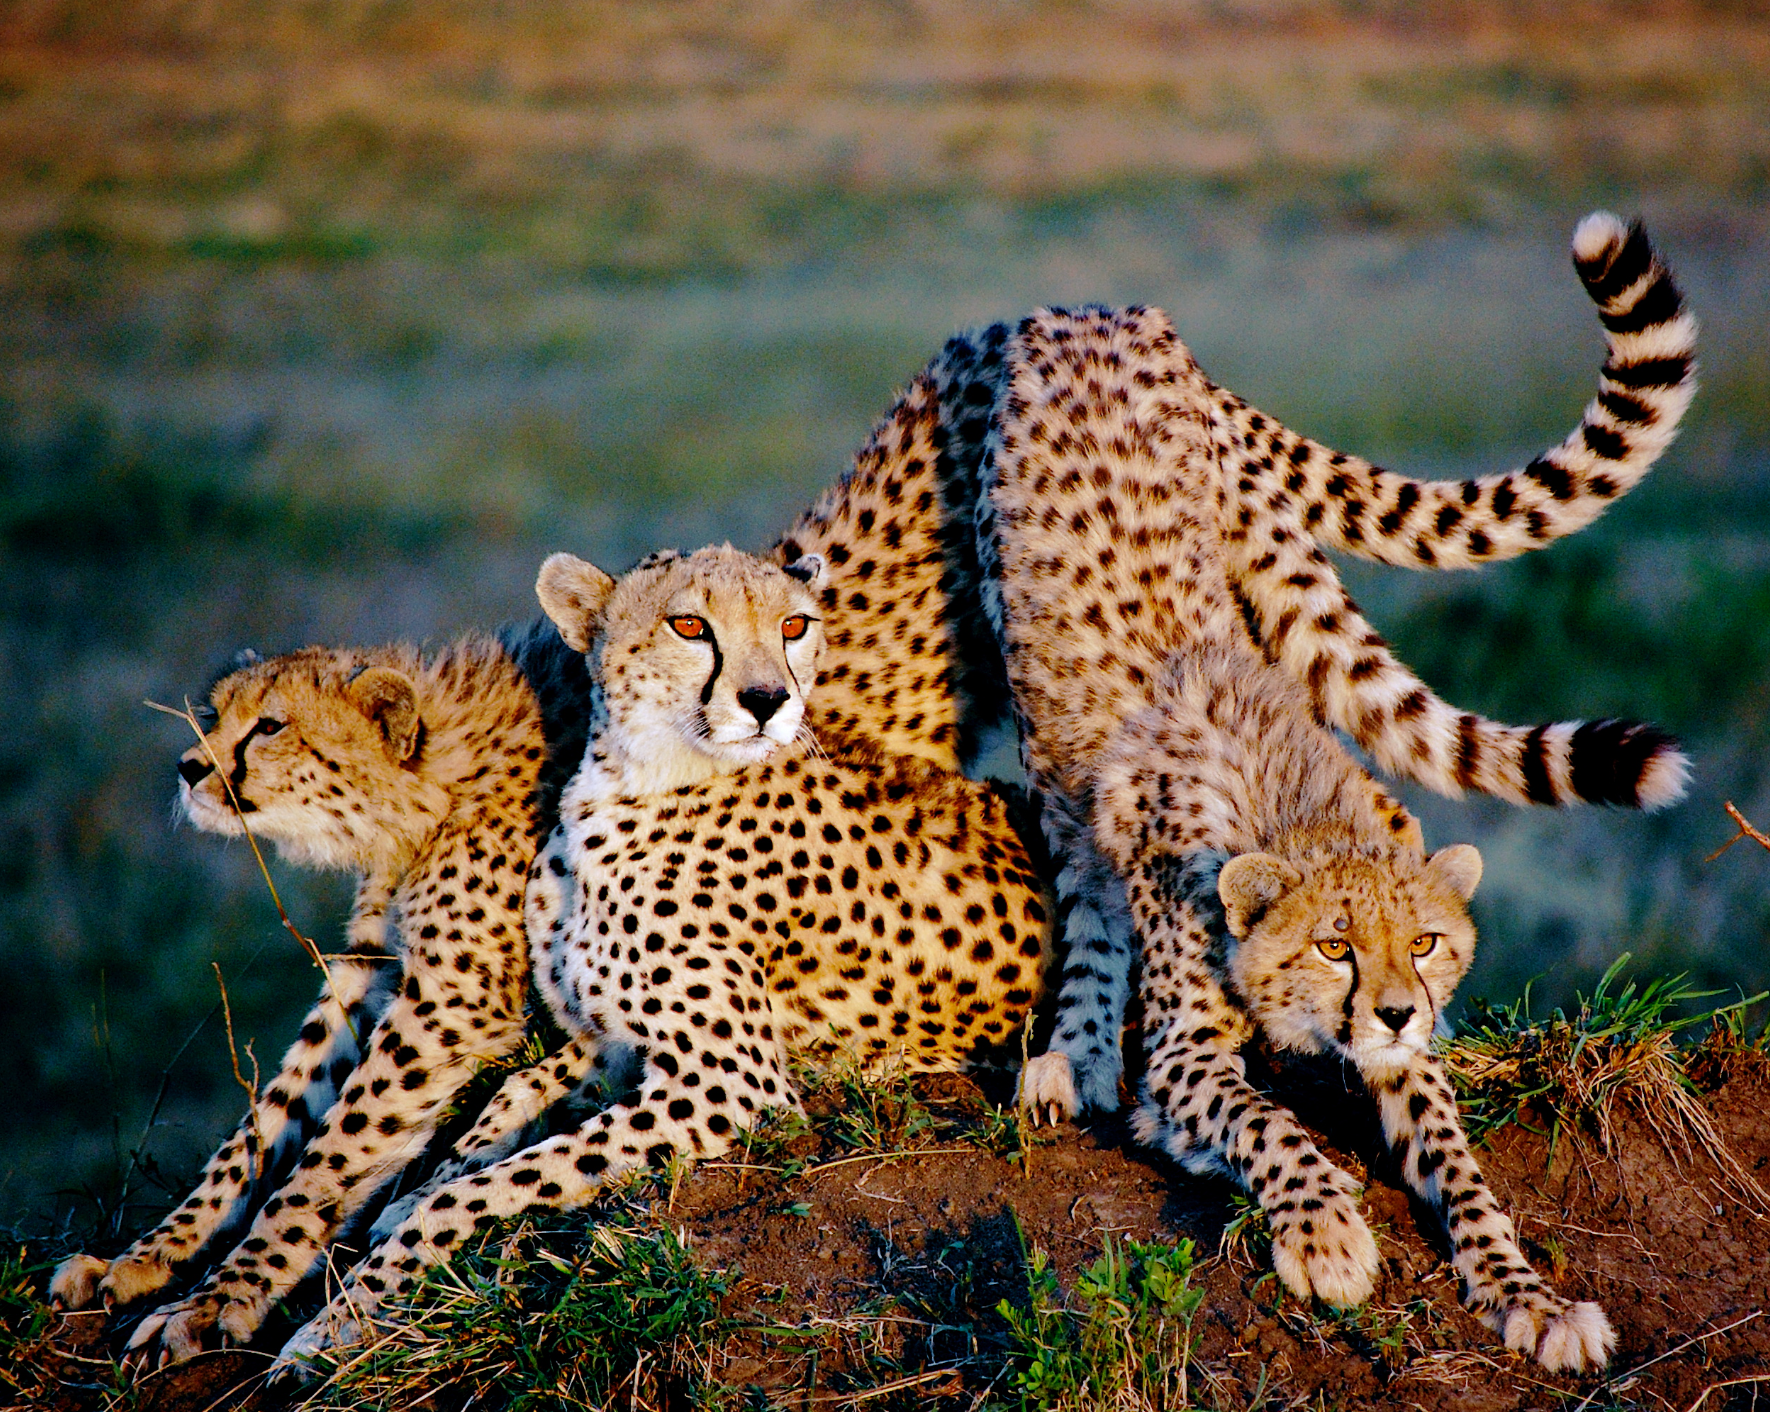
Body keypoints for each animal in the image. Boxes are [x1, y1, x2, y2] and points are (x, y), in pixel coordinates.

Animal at [48, 622, 593, 1366]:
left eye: (270, 726)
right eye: (216, 713)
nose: (187, 769)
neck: (427, 788)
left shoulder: (450, 997)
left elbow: (335, 1149)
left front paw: (220, 1299)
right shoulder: (369, 967)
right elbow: (266, 1122)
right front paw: (148, 1255)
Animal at [258, 543, 1056, 1371]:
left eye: (794, 625)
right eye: (689, 625)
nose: (767, 699)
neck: (630, 784)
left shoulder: (730, 1086)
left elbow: (498, 1183)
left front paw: (341, 1320)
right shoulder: (608, 1040)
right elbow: (510, 1099)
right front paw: (420, 1189)